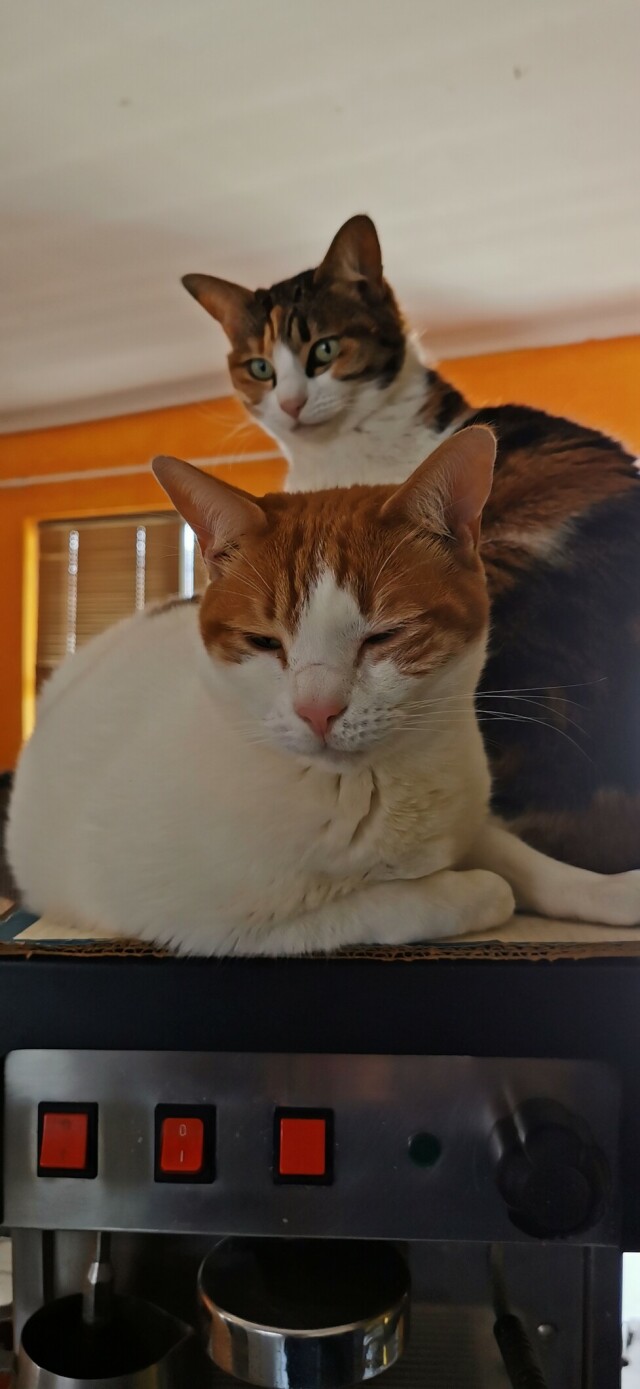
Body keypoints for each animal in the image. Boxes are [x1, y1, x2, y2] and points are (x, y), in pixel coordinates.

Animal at [6, 430, 638, 955]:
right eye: (263, 642)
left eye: (385, 635)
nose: (318, 710)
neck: (375, 786)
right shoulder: (222, 923)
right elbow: (422, 898)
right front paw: (471, 888)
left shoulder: (468, 814)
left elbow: (529, 861)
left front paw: (605, 890)